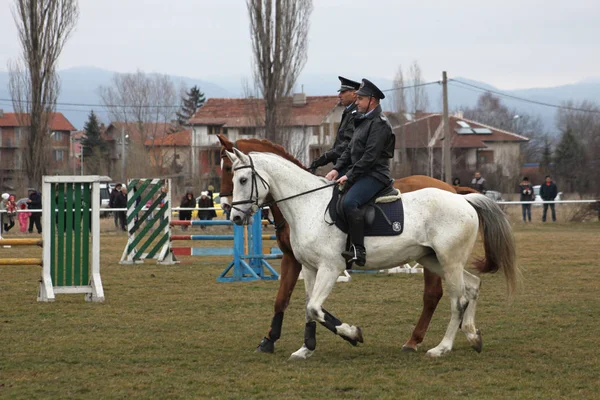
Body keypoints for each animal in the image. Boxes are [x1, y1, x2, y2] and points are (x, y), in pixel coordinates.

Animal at [225, 149, 520, 360]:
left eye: (243, 179)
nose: (235, 217)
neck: (307, 204)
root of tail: (461, 198)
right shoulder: (309, 268)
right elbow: (309, 308)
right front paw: (306, 348)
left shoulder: (330, 268)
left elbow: (314, 307)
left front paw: (353, 334)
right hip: (435, 260)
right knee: (473, 286)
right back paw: (472, 335)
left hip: (449, 261)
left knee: (457, 300)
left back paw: (441, 347)